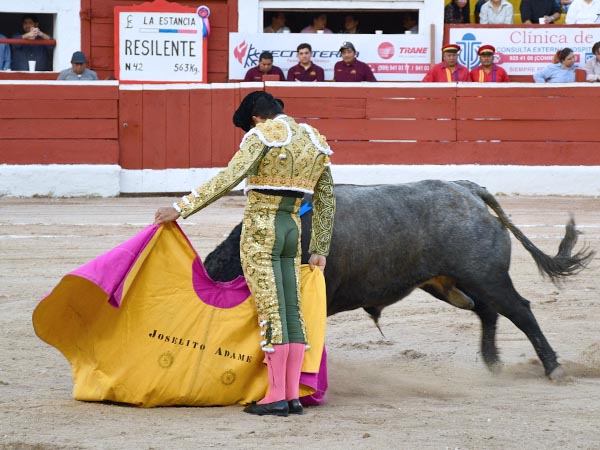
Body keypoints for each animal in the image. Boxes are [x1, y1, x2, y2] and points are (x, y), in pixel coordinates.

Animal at [204, 179, 592, 380]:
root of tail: (467, 189)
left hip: (487, 276)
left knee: (519, 311)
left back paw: (553, 368)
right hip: (449, 283)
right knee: (488, 312)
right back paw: (492, 362)